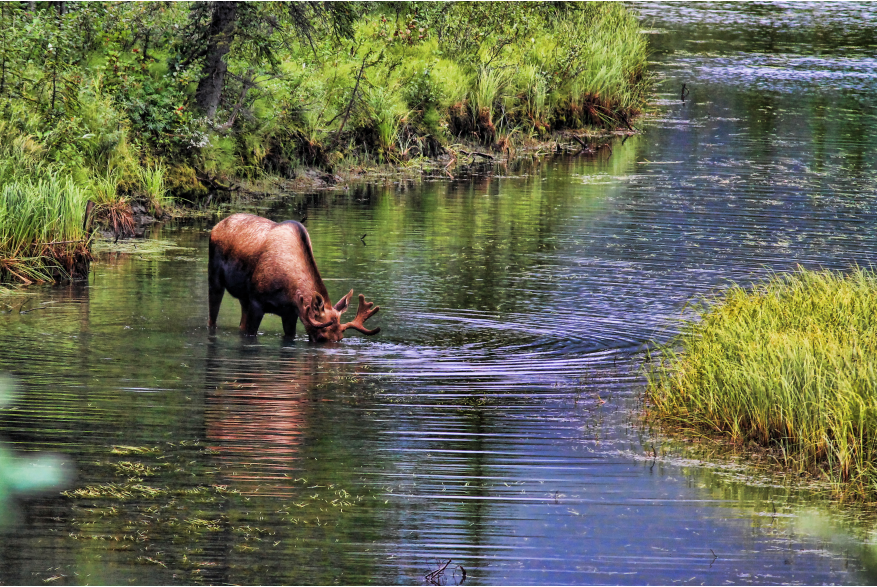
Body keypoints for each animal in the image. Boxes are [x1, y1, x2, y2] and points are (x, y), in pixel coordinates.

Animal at [210, 214, 382, 342]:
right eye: (321, 336)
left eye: (340, 338)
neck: (288, 290)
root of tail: (216, 226)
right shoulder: (256, 303)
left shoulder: (290, 313)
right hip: (215, 279)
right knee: (212, 318)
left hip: (243, 298)